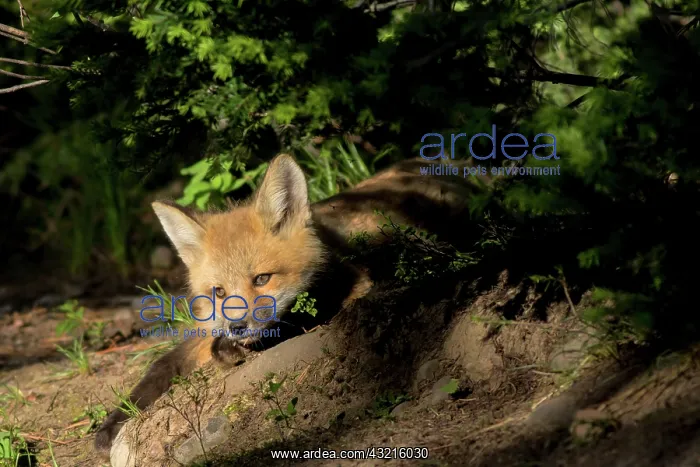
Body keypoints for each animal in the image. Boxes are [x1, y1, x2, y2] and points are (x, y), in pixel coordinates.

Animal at [94, 153, 485, 454]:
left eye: (262, 279)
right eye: (219, 292)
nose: (238, 327)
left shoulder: (354, 284)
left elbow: (289, 323)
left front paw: (232, 348)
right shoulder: (201, 332)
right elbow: (158, 368)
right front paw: (113, 422)